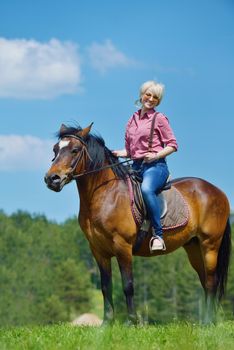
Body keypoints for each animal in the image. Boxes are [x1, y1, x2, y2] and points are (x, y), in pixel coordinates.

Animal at [44, 123, 232, 326]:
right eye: (55, 149)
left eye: (75, 150)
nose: (52, 179)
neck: (105, 194)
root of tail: (218, 192)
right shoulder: (98, 250)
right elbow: (105, 286)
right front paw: (107, 323)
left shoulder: (123, 246)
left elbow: (128, 285)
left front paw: (131, 322)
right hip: (194, 247)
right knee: (205, 281)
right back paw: (207, 321)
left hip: (210, 244)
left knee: (212, 281)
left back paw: (208, 321)